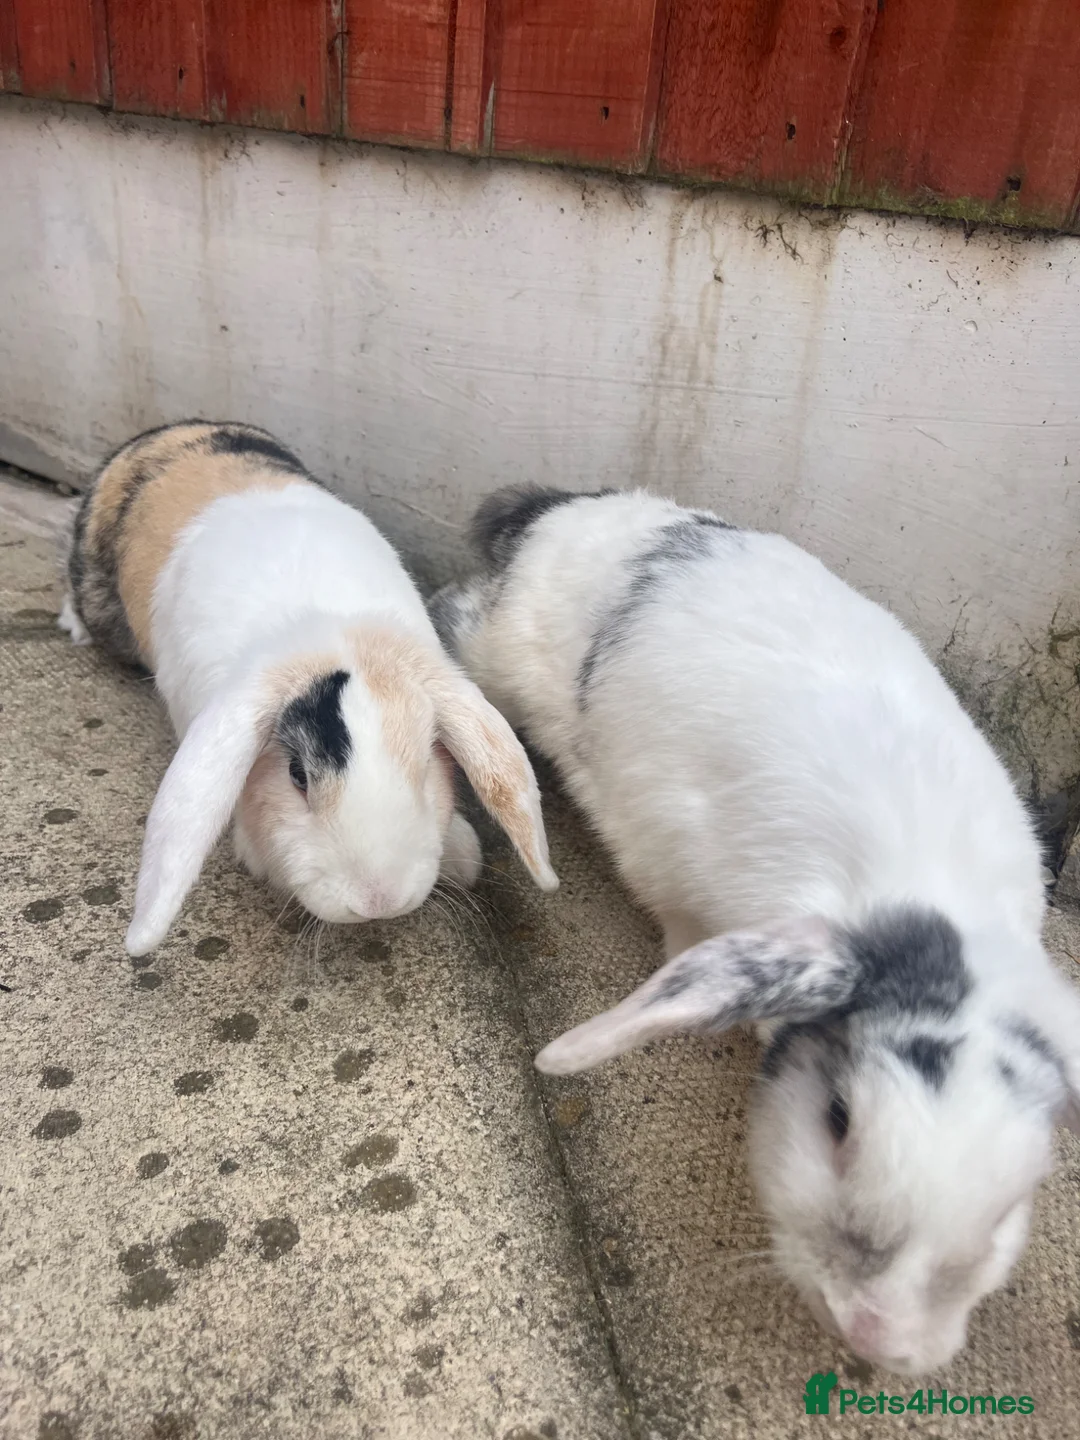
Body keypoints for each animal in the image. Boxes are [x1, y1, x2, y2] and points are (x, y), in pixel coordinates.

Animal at [61, 423, 557, 957]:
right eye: (297, 775)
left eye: (428, 760)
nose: (378, 900)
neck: (333, 632)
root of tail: (176, 429)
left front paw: (462, 856)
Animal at [430, 484, 1080, 1375]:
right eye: (837, 1118)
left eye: (1018, 1198)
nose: (885, 1337)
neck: (923, 897)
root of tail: (562, 514)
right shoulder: (670, 864)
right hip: (500, 649)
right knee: (450, 613)